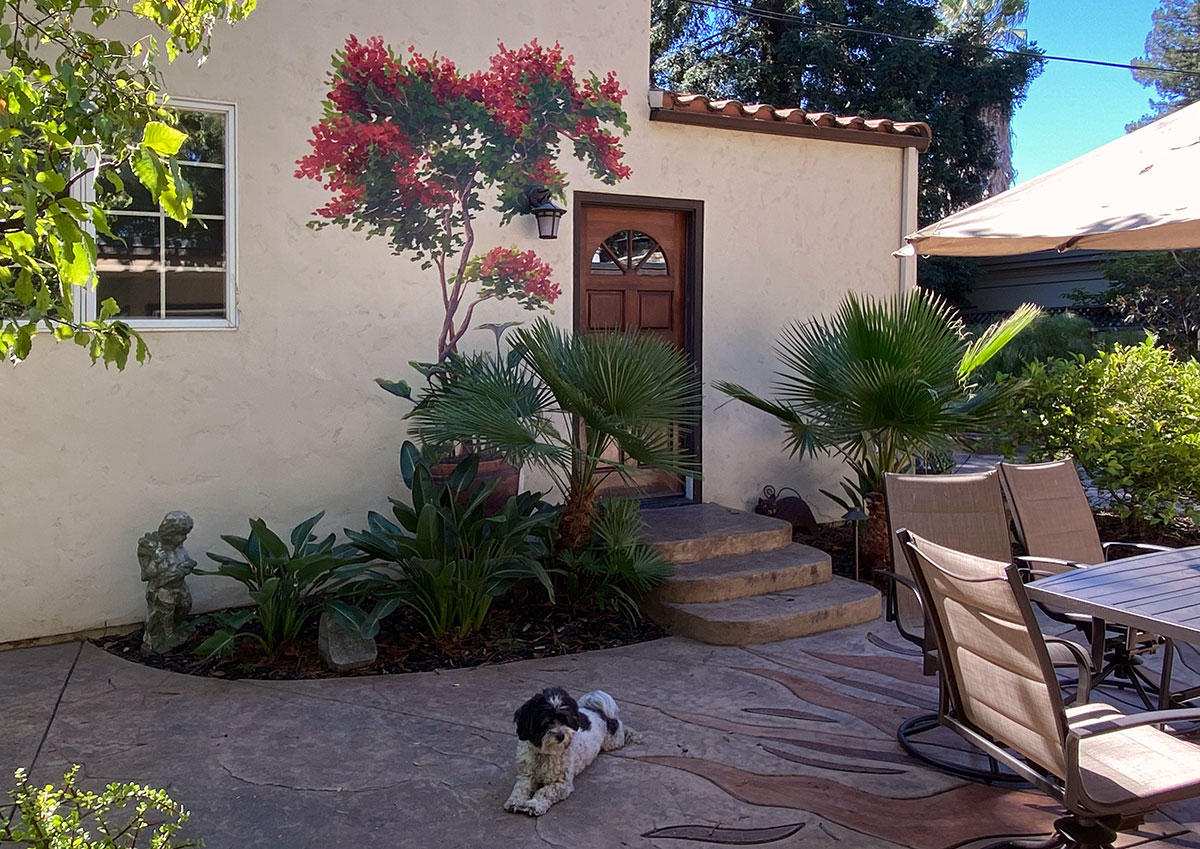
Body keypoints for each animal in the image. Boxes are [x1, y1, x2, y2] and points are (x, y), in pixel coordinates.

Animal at [504, 690, 638, 815]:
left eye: (564, 720)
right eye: (546, 722)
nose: (561, 736)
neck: (544, 754)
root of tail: (596, 711)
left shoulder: (562, 784)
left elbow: (544, 792)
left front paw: (534, 804)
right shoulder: (526, 776)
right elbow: (520, 788)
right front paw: (515, 801)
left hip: (612, 741)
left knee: (620, 725)